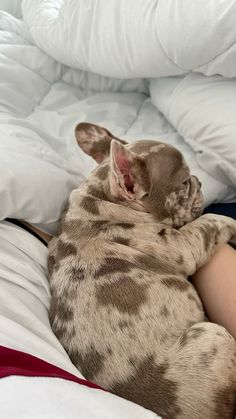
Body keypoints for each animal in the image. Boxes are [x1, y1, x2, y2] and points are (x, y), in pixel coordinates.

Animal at [48, 123, 236, 418]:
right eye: (184, 182)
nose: (199, 181)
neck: (102, 199)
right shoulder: (184, 244)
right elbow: (212, 220)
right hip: (212, 335)